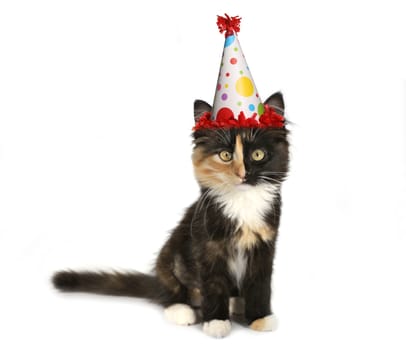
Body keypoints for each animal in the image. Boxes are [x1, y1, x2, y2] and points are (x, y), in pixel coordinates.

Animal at [52, 91, 288, 338]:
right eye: (225, 155)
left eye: (258, 154)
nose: (243, 174)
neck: (242, 202)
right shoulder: (207, 246)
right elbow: (213, 284)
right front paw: (216, 322)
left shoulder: (264, 246)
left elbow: (260, 284)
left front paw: (260, 317)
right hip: (169, 257)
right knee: (170, 294)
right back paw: (183, 310)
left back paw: (236, 303)